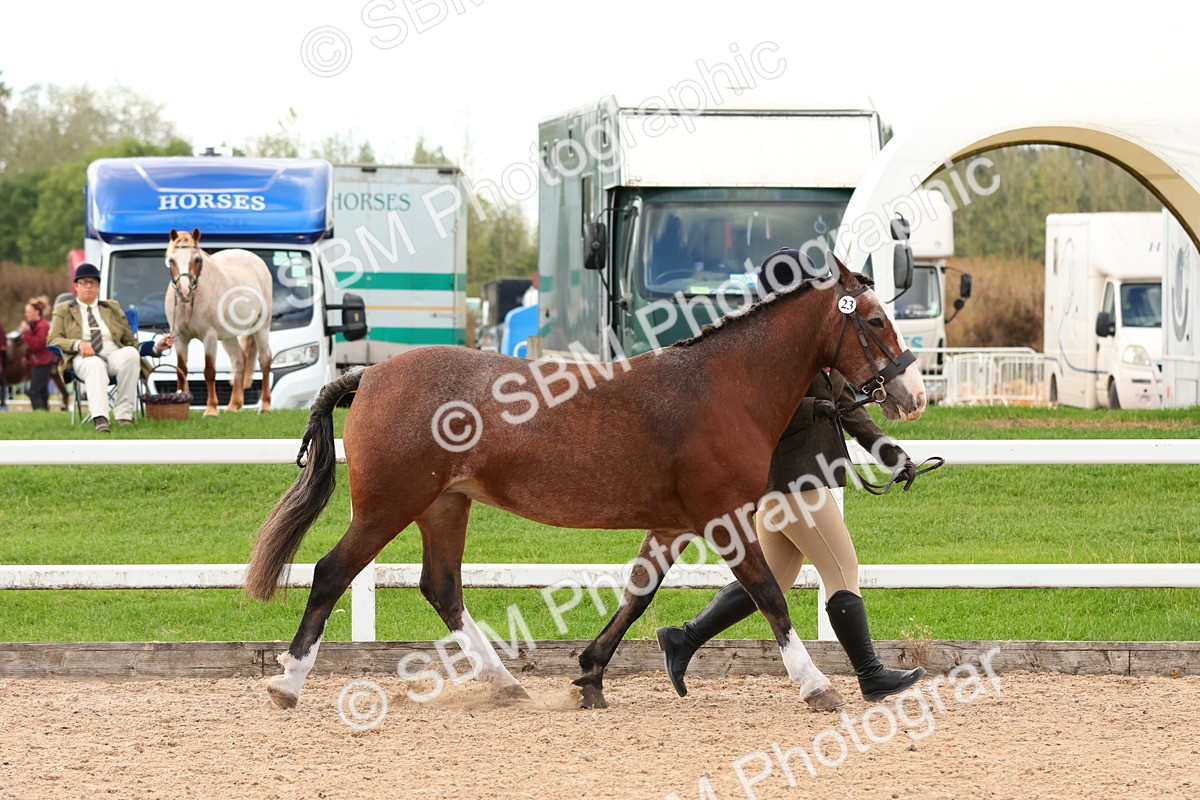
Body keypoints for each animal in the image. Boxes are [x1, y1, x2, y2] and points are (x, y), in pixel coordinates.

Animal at [164, 228, 273, 416]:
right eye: (172, 260)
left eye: (197, 259)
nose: (184, 291)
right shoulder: (179, 338)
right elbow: (181, 371)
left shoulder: (209, 337)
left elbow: (209, 372)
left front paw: (211, 409)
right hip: (228, 337)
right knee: (239, 360)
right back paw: (233, 406)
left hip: (262, 328)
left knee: (264, 361)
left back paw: (265, 406)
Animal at [245, 253, 927, 712]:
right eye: (873, 320)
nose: (912, 393)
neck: (722, 386)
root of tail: (371, 375)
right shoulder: (723, 518)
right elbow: (768, 596)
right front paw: (815, 686)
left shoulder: (673, 525)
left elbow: (638, 596)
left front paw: (592, 677)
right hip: (388, 506)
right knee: (332, 573)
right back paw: (287, 683)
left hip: (444, 506)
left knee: (441, 588)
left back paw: (507, 685)